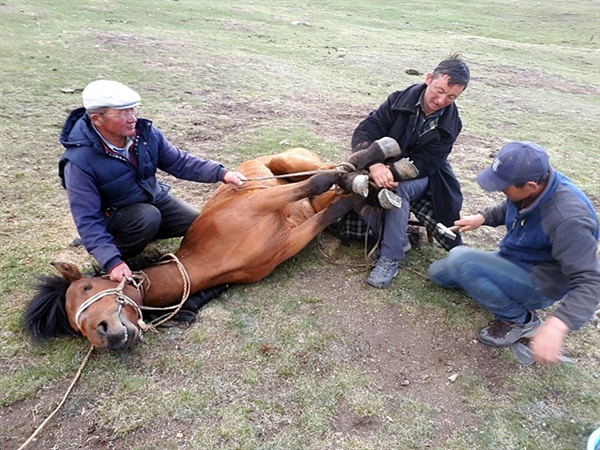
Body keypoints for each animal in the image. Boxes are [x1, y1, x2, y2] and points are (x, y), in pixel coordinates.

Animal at [23, 142, 400, 350]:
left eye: (87, 287)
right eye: (76, 325)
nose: (107, 337)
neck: (212, 256)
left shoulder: (264, 202)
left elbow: (323, 181)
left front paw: (372, 182)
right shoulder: (291, 239)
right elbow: (336, 206)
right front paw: (368, 193)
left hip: (292, 164)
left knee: (329, 168)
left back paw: (381, 156)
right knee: (335, 182)